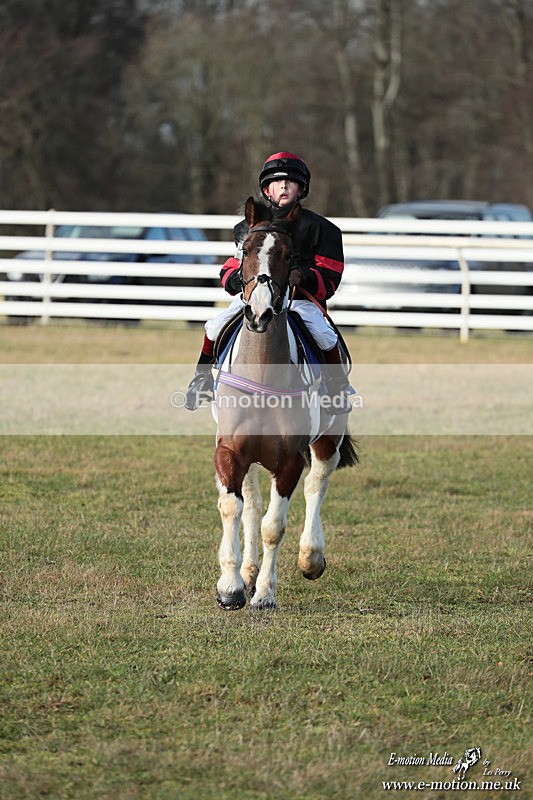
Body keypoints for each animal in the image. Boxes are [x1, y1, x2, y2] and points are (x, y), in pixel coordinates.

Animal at [213, 196, 358, 611]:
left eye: (289, 255)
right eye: (245, 250)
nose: (259, 312)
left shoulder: (291, 459)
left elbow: (274, 526)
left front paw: (264, 594)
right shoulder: (230, 451)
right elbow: (235, 508)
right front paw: (232, 587)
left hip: (328, 439)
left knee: (316, 484)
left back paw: (311, 557)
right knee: (252, 504)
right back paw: (247, 572)